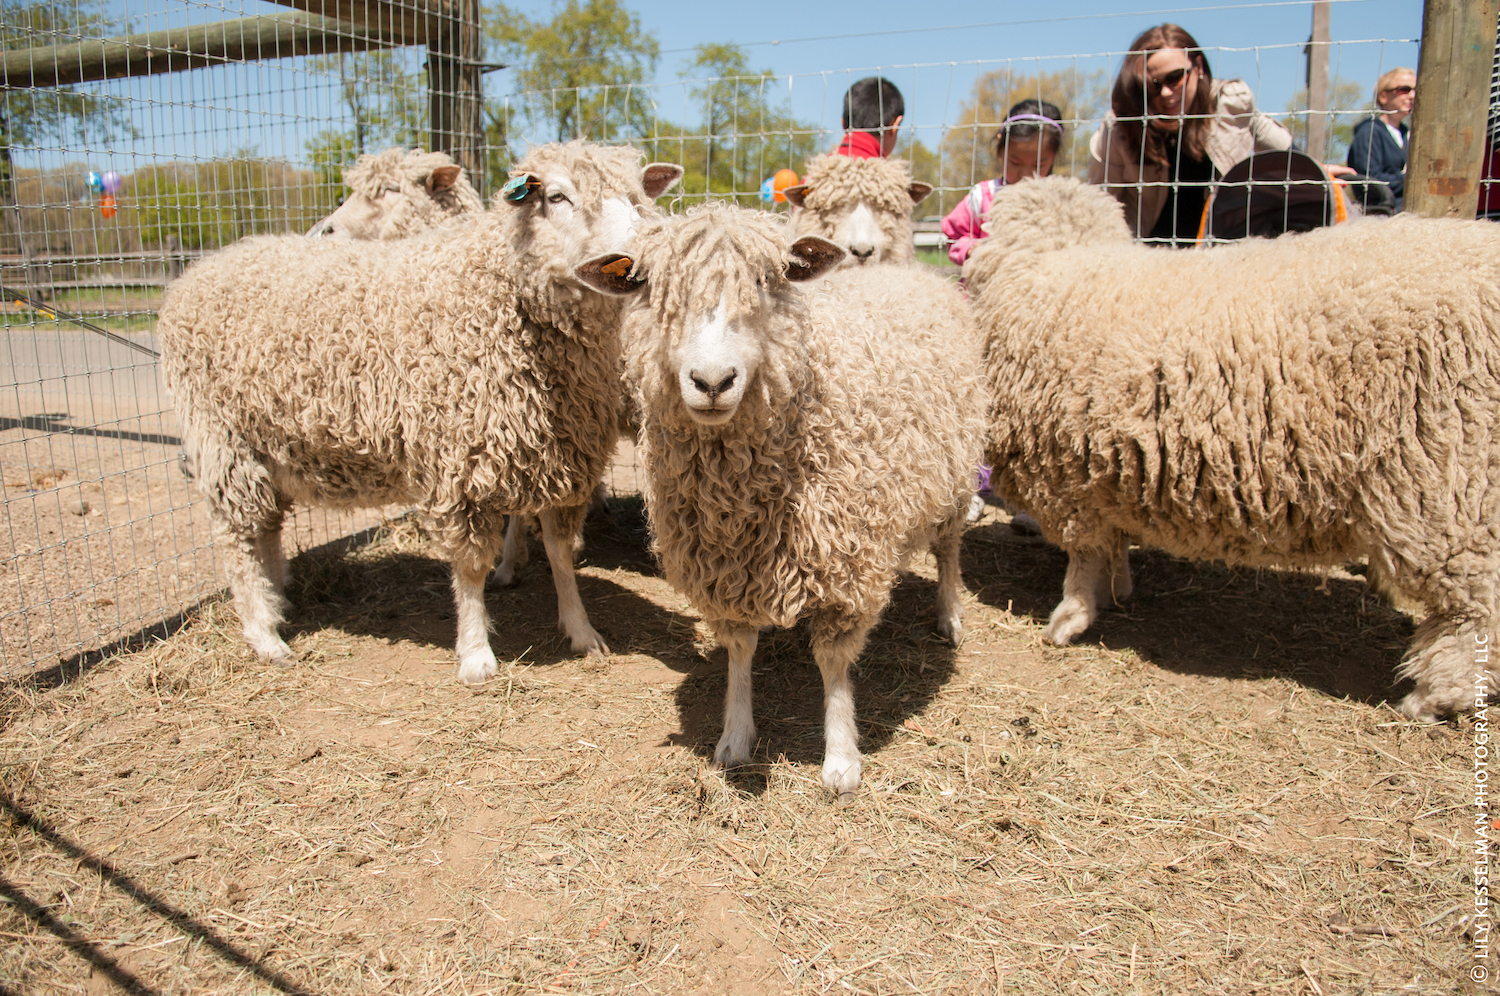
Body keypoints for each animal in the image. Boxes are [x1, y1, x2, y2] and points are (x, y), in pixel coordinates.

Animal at [579, 204, 990, 804]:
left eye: (764, 283)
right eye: (652, 291)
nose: (712, 381)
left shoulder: (848, 558)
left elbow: (834, 664)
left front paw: (841, 760)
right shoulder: (725, 567)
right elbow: (739, 652)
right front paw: (735, 737)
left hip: (957, 479)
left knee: (949, 551)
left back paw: (950, 615)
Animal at [960, 174, 1500, 720]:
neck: (1053, 259)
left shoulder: (1069, 475)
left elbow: (1084, 556)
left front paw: (1070, 618)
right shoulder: (1109, 468)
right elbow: (1114, 544)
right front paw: (1120, 590)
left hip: (1448, 478)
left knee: (1474, 607)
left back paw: (1432, 697)